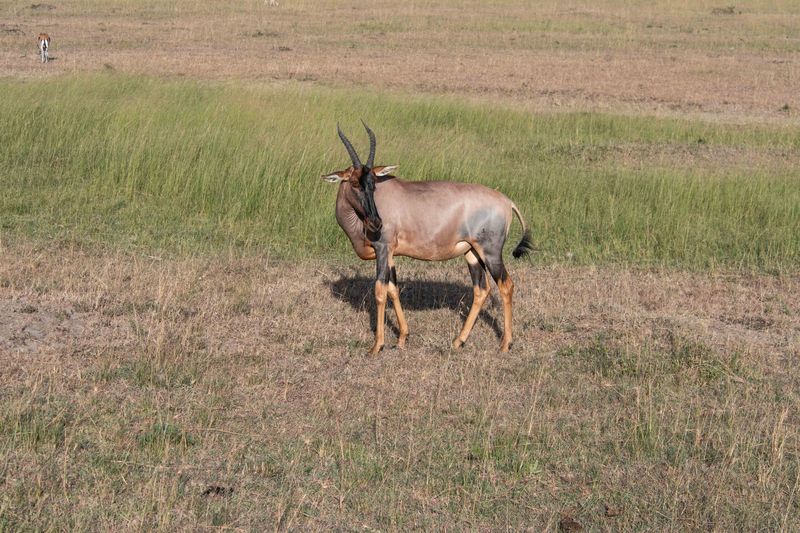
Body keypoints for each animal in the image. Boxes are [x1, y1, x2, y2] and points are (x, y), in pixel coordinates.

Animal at [322, 123, 536, 356]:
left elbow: (380, 291)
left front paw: (377, 346)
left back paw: (505, 344)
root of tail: (507, 202)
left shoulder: (383, 248)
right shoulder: (390, 254)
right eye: (354, 182)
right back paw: (458, 341)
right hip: (472, 253)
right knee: (481, 289)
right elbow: (393, 289)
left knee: (506, 285)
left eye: (373, 184)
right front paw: (402, 339)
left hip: (491, 253)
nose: (376, 223)